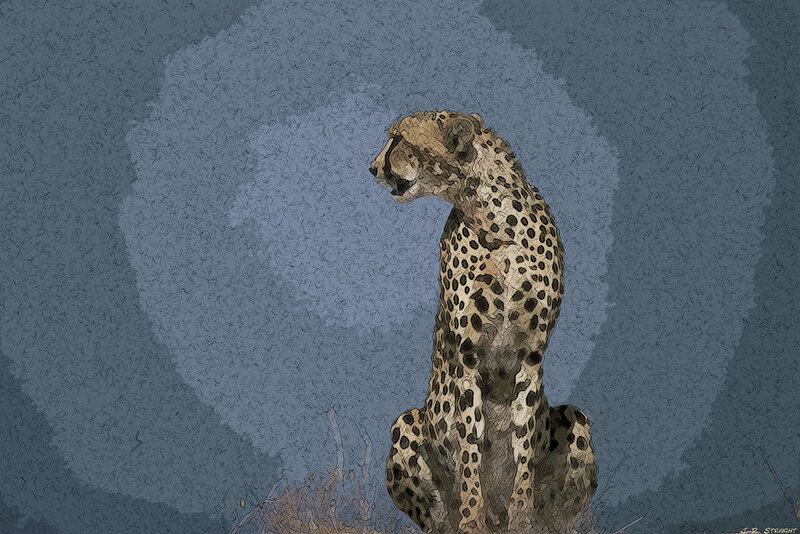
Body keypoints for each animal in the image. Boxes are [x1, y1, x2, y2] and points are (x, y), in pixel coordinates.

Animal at [369, 111, 597, 534]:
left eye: (397, 139)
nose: (372, 167)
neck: (494, 219)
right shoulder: (468, 358)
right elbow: (470, 446)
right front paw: (472, 520)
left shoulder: (530, 357)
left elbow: (523, 445)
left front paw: (521, 517)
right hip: (407, 423)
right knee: (438, 517)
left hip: (577, 422)